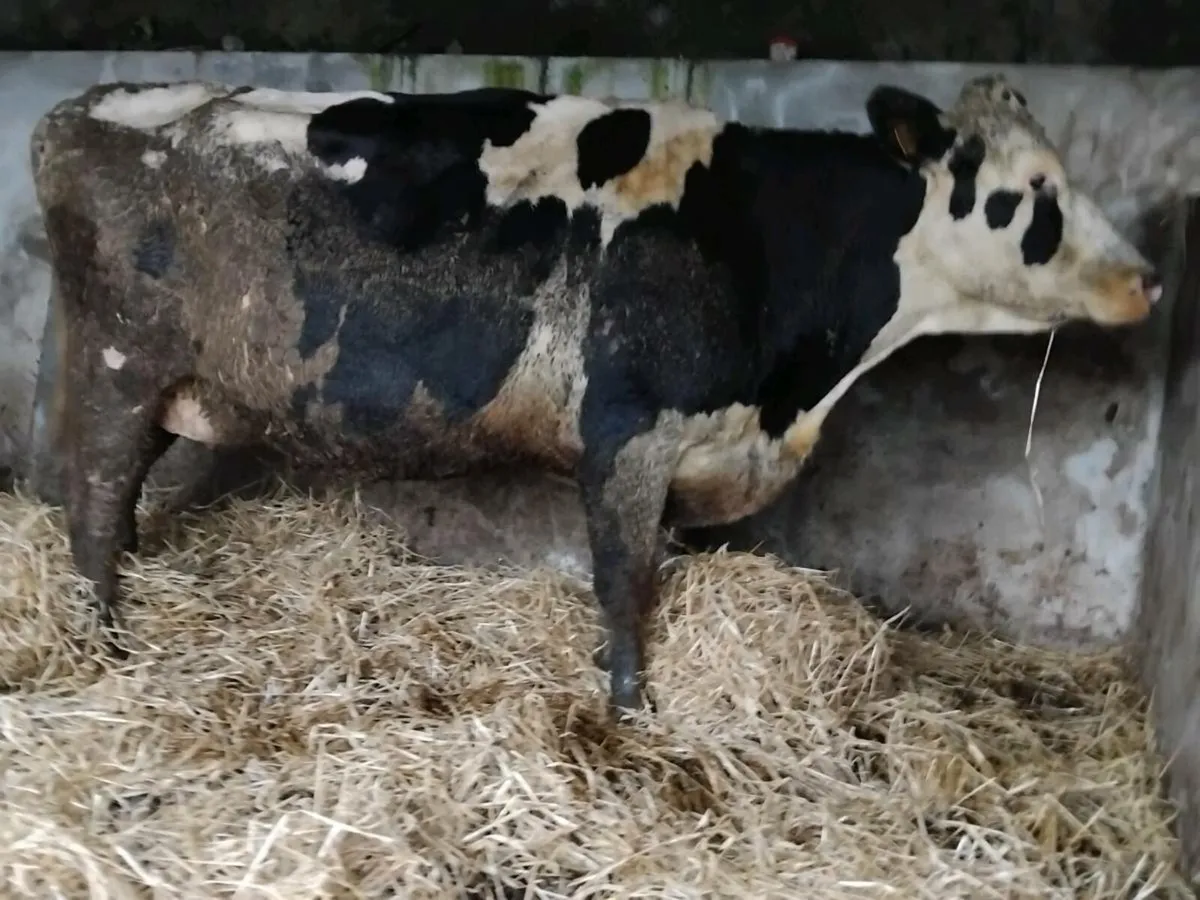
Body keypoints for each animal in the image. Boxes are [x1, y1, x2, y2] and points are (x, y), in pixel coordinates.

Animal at [29, 73, 1161, 717]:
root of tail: (87, 106)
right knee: (94, 505)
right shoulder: (626, 431)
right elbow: (623, 582)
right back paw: (106, 639)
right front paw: (630, 709)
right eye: (1036, 194)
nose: (1149, 278)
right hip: (118, 366)